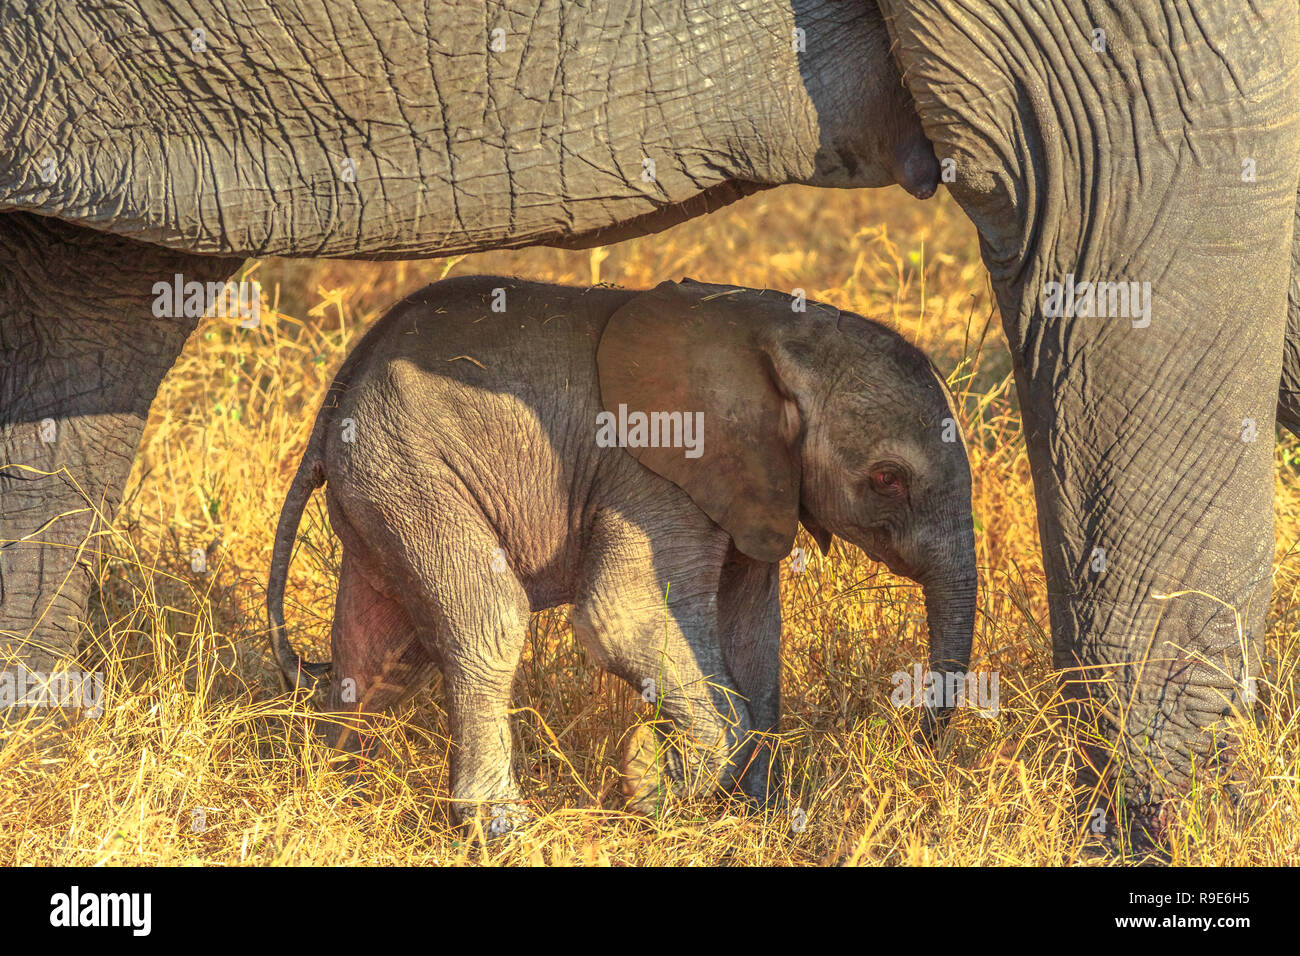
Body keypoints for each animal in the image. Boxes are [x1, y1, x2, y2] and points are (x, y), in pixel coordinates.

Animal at [266, 273, 977, 827]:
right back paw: (498, 828)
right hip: (409, 465)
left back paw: (333, 794)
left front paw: (760, 817)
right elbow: (623, 619)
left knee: (377, 657)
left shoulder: (755, 488)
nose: (915, 741)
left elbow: (753, 636)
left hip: (382, 482)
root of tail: (334, 400)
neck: (778, 330)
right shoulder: (656, 473)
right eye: (887, 478)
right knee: (488, 619)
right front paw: (648, 779)